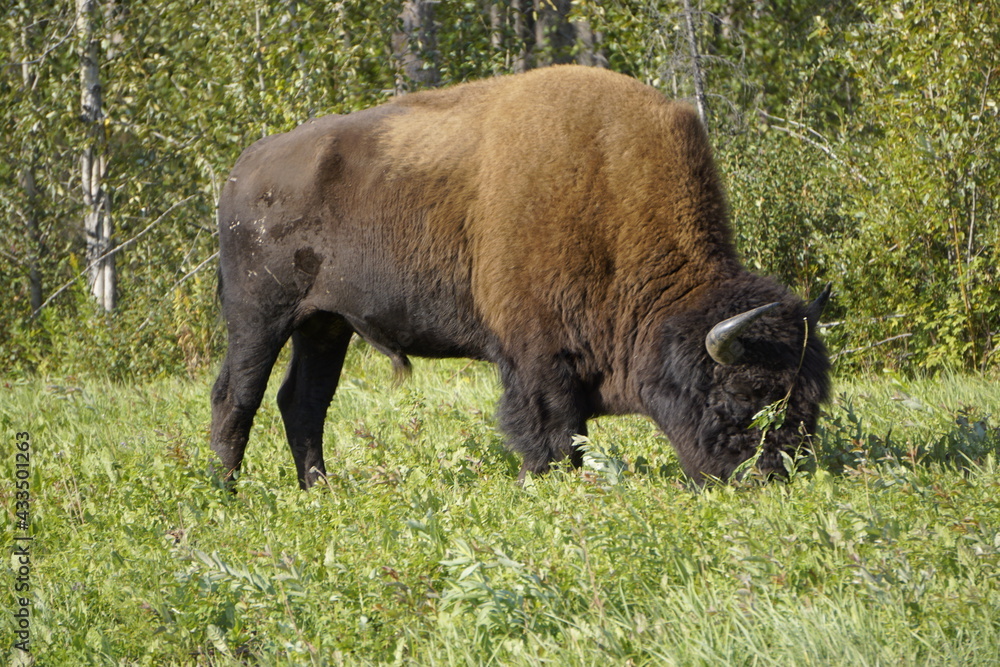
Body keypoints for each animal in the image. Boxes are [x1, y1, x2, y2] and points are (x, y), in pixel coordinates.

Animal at [210, 65, 830, 489]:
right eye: (744, 395)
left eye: (809, 403)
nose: (771, 477)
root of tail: (242, 170)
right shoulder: (538, 359)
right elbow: (551, 434)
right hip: (259, 316)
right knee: (236, 395)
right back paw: (227, 492)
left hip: (324, 325)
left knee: (304, 401)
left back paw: (320, 490)